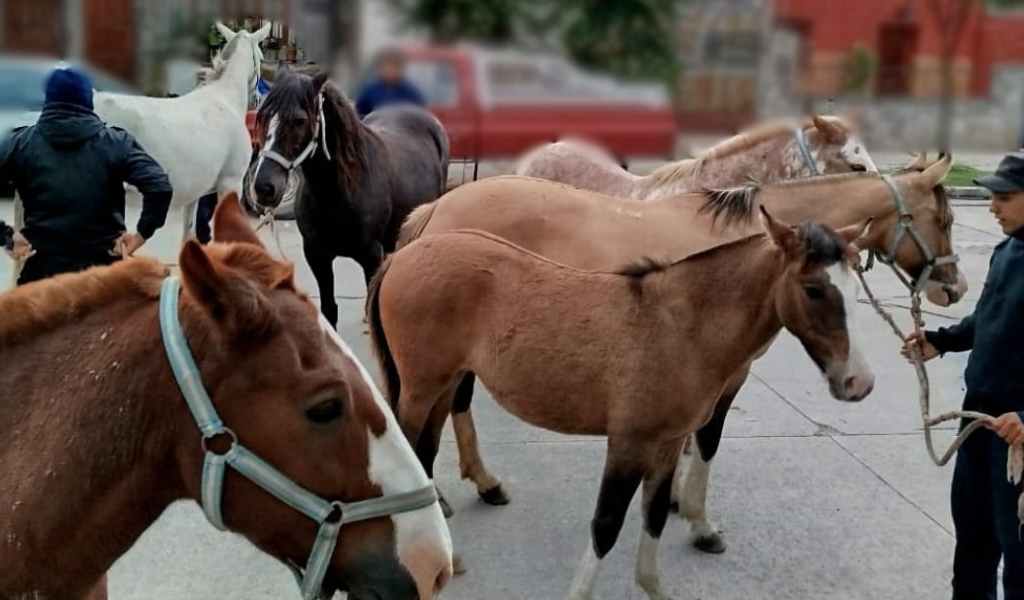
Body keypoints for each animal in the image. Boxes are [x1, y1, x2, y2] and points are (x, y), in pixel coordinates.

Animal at [247, 69, 450, 327]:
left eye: (299, 120)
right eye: (263, 116)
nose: (263, 187)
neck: (338, 194)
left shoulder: (371, 255)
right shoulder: (317, 255)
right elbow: (329, 309)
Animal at [368, 211, 875, 599]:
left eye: (857, 288)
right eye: (813, 288)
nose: (859, 383)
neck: (682, 327)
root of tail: (399, 256)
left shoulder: (668, 444)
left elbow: (654, 516)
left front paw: (655, 587)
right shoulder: (629, 443)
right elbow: (607, 524)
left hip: (443, 384)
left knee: (425, 454)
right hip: (420, 388)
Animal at [396, 156, 963, 551]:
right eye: (944, 217)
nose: (953, 289)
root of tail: (436, 209)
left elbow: (687, 439)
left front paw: (668, 499)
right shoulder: (730, 372)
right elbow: (707, 439)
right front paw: (698, 521)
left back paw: (480, 484)